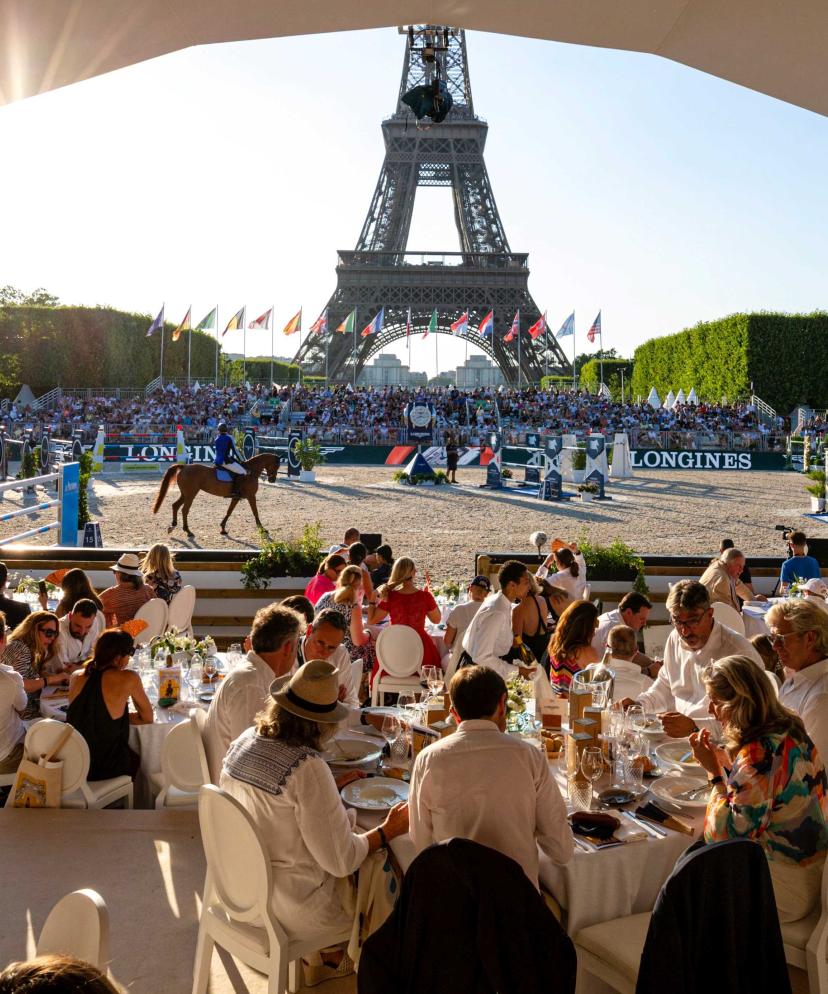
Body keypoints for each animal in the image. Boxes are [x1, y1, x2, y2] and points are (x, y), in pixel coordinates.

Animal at [154, 456, 282, 540]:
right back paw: (188, 531)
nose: (272, 480)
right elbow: (255, 512)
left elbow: (229, 511)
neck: (251, 472)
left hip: (185, 494)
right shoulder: (251, 496)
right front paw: (262, 529)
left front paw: (223, 528)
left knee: (175, 505)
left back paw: (173, 526)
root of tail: (184, 466)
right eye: (276, 465)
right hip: (190, 494)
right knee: (184, 510)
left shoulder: (236, 498)